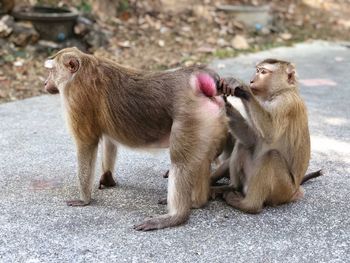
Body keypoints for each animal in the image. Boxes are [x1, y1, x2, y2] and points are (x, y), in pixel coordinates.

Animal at [43, 47, 227, 231]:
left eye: (51, 71)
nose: (45, 83)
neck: (81, 71)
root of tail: (196, 84)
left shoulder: (76, 98)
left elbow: (87, 144)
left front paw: (84, 199)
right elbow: (109, 140)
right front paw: (107, 178)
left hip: (190, 118)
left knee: (180, 162)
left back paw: (175, 216)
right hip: (210, 123)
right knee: (201, 160)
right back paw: (197, 202)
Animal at [212, 58, 322, 213]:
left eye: (263, 72)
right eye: (257, 70)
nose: (252, 81)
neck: (281, 91)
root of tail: (294, 192)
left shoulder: (285, 103)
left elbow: (270, 132)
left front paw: (242, 87)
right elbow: (251, 139)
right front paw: (223, 101)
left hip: (282, 189)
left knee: (271, 156)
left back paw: (248, 205)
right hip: (251, 179)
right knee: (243, 144)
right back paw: (232, 187)